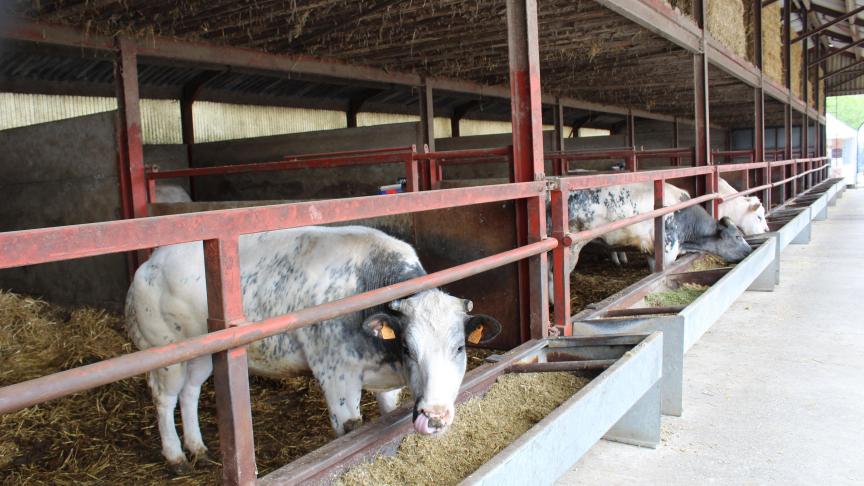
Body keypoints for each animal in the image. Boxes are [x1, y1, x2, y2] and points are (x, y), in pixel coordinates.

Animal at [122, 226, 500, 472]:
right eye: (407, 347)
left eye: (459, 347)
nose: (434, 417)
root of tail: (150, 263)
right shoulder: (336, 378)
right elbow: (351, 429)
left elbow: (387, 410)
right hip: (166, 353)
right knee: (165, 398)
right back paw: (175, 456)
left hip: (202, 355)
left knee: (190, 392)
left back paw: (198, 448)